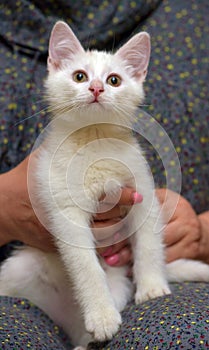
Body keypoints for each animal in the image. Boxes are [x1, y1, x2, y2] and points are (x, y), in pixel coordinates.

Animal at [0, 21, 209, 348]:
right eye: (79, 76)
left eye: (114, 80)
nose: (96, 88)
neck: (94, 138)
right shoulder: (65, 208)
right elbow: (86, 267)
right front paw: (101, 316)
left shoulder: (141, 193)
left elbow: (148, 244)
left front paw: (152, 286)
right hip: (18, 269)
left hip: (119, 283)